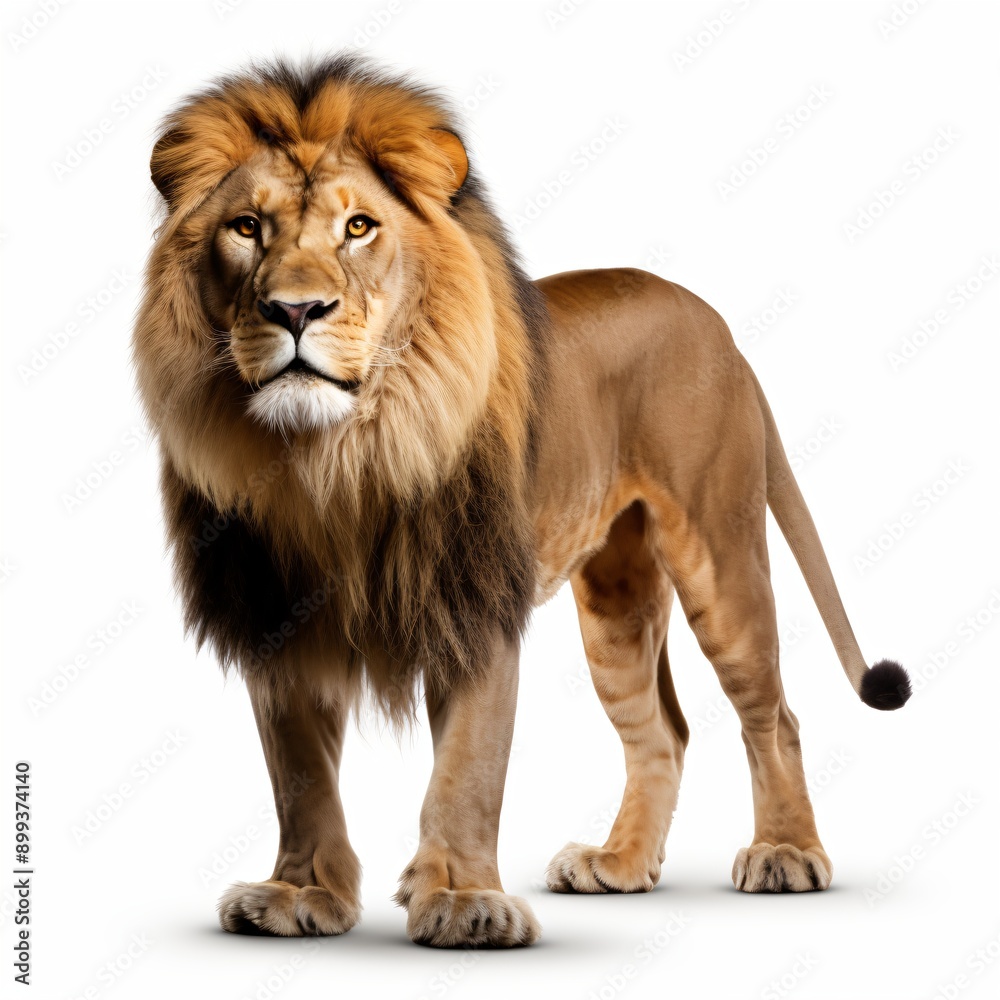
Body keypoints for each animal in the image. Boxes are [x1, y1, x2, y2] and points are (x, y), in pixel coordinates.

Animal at [133, 56, 912, 947]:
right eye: (246, 228)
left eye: (359, 227)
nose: (295, 310)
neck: (335, 460)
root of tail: (716, 323)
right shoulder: (276, 616)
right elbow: (299, 775)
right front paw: (300, 895)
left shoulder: (470, 600)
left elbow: (468, 766)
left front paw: (463, 901)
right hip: (616, 596)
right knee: (663, 731)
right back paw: (618, 865)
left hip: (721, 552)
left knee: (772, 714)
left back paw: (787, 854)